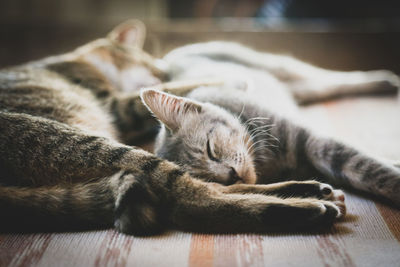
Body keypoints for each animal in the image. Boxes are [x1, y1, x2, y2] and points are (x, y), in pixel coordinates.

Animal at [0, 21, 350, 236]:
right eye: (148, 61)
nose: (163, 67)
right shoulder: (115, 103)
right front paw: (231, 79)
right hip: (92, 147)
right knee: (195, 200)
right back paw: (307, 204)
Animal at [141, 40, 400, 207]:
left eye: (210, 150)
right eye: (207, 180)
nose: (231, 176)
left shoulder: (316, 142)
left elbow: (371, 169)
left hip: (277, 66)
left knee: (331, 78)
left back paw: (383, 80)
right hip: (295, 86)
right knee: (321, 86)